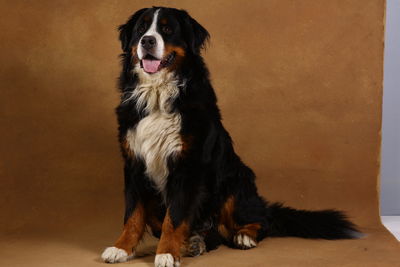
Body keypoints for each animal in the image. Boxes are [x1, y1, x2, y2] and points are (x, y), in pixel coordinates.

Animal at [101, 6, 360, 267]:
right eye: (141, 29)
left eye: (167, 29)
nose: (147, 40)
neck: (157, 93)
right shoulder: (134, 163)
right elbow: (134, 214)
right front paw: (121, 248)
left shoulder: (187, 166)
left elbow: (174, 217)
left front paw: (166, 254)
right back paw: (196, 241)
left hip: (235, 182)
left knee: (261, 221)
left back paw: (243, 236)